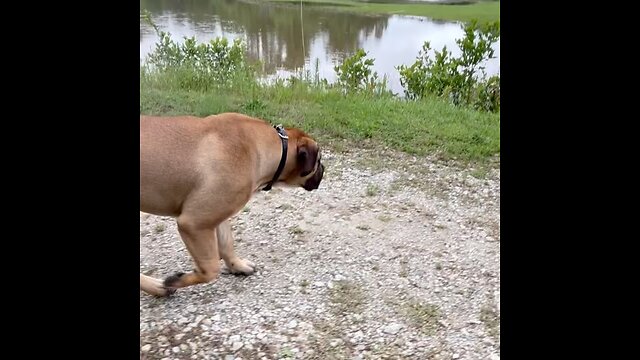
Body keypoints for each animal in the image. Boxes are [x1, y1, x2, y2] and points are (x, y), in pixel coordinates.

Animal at [138, 112, 322, 296]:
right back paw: (159, 286)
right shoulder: (194, 223)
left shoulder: (217, 215)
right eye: (319, 161)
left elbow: (227, 244)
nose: (324, 169)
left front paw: (238, 265)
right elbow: (211, 269)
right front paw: (176, 280)